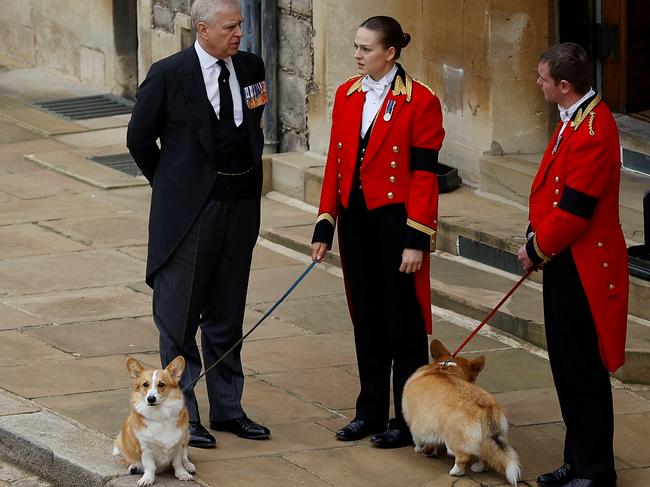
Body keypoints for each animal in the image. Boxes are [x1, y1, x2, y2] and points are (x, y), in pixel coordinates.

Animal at [112, 354, 195, 487]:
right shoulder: (145, 448)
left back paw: (189, 466)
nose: (151, 399)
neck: (159, 414)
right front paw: (147, 479)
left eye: (161, 384)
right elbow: (150, 466)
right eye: (145, 384)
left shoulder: (178, 445)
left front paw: (182, 474)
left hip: (186, 437)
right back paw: (134, 466)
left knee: (185, 456)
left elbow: (178, 462)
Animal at [402, 342, 520, 486]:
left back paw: (455, 472)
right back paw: (478, 467)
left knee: (462, 458)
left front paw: (418, 449)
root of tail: (485, 407)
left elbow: (417, 438)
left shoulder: (415, 421)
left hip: (453, 439)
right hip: (487, 438)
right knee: (484, 454)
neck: (446, 369)